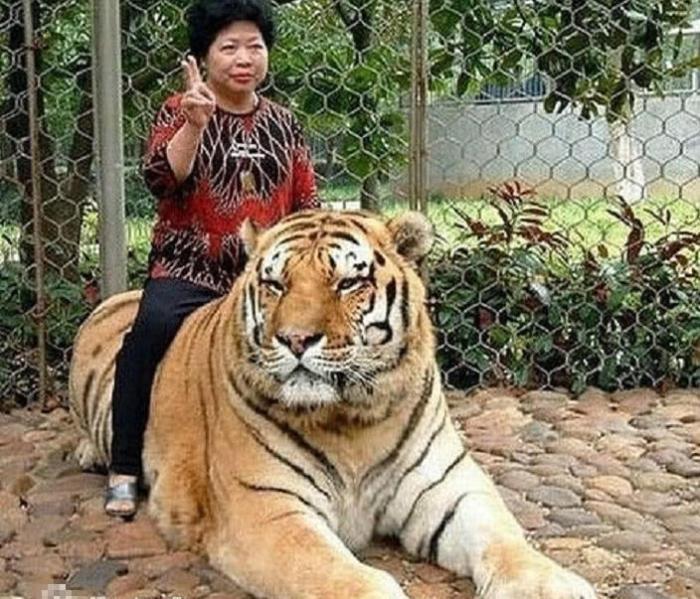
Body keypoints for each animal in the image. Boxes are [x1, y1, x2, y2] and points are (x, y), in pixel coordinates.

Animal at [69, 210, 596, 599]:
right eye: (275, 284)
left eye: (346, 283)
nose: (295, 339)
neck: (355, 420)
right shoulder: (266, 509)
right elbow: (341, 577)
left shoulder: (450, 489)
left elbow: (507, 539)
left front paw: (549, 584)